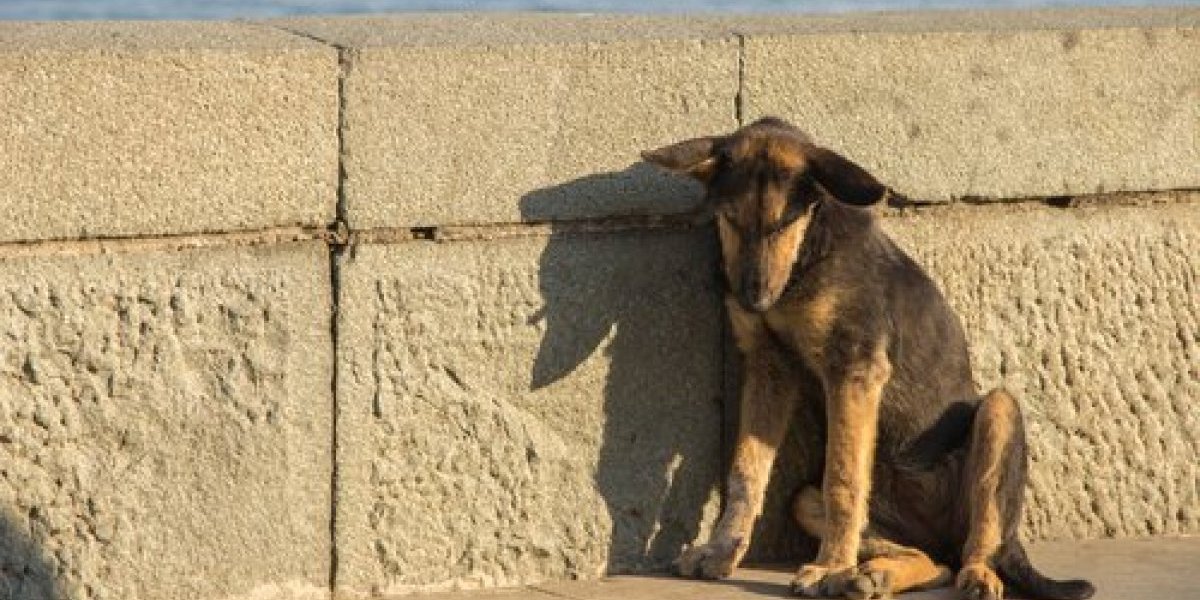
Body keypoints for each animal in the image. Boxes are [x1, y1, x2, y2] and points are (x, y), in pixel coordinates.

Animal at [643, 118, 1094, 600]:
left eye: (786, 221)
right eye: (730, 219)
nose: (753, 299)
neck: (806, 259)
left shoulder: (853, 367)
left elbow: (844, 478)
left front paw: (829, 567)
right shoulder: (769, 367)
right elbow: (747, 471)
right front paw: (722, 549)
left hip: (998, 414)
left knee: (979, 540)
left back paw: (973, 575)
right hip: (808, 501)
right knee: (934, 562)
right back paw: (875, 575)